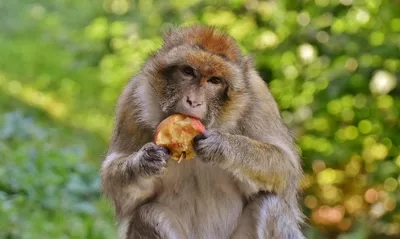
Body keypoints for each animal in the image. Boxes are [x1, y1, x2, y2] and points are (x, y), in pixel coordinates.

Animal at [101, 25, 304, 238]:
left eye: (214, 80)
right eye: (188, 71)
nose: (194, 101)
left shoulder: (260, 98)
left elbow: (286, 168)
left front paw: (222, 146)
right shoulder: (131, 99)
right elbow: (120, 193)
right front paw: (144, 161)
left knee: (271, 204)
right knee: (148, 214)